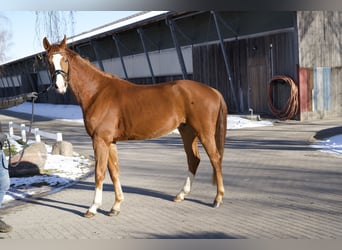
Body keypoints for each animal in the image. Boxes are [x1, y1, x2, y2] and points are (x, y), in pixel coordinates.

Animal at [44, 36, 228, 218]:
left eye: (65, 59)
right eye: (49, 61)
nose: (59, 86)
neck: (97, 92)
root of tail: (213, 91)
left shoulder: (100, 140)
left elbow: (100, 173)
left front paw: (93, 208)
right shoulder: (110, 142)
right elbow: (114, 171)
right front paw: (116, 206)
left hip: (204, 133)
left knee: (215, 158)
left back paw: (218, 198)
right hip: (188, 132)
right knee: (193, 159)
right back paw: (181, 195)